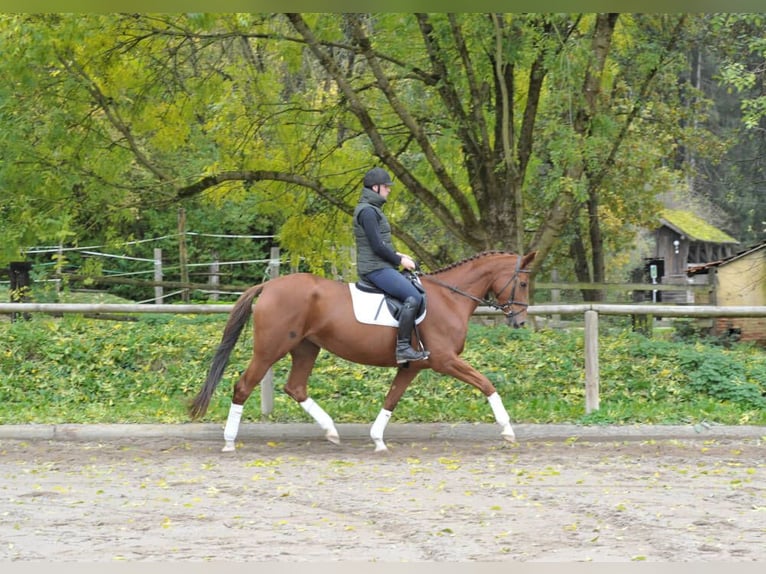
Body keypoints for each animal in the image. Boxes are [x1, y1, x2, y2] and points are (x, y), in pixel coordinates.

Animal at [189, 252, 536, 454]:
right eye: (522, 282)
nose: (520, 321)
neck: (449, 298)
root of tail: (269, 287)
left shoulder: (411, 366)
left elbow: (391, 399)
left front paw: (378, 439)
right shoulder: (444, 360)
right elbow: (487, 384)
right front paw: (508, 432)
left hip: (306, 348)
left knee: (296, 387)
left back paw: (331, 431)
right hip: (270, 348)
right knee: (243, 386)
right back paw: (229, 442)